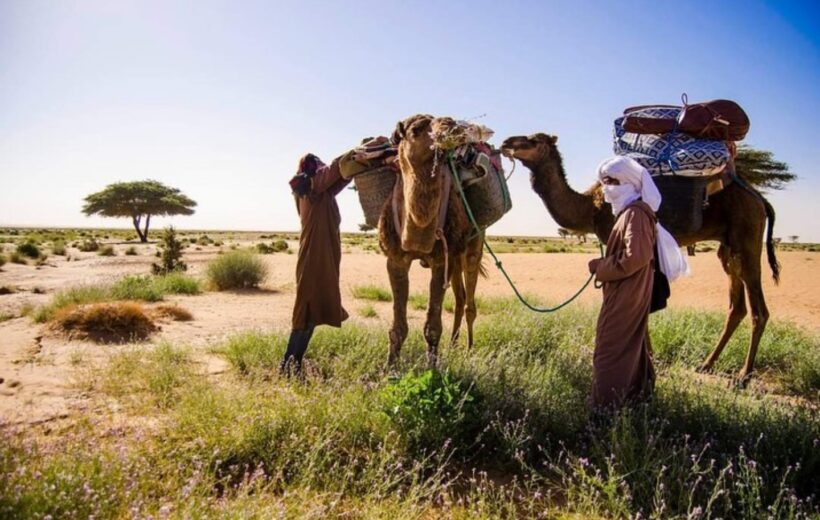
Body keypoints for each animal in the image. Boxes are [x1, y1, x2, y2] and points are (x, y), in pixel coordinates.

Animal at [379, 114, 484, 367]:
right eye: (415, 130)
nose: (450, 124)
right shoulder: (395, 259)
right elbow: (398, 325)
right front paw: (389, 367)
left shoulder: (440, 260)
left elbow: (433, 325)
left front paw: (433, 367)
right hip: (455, 258)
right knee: (460, 298)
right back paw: (453, 346)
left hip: (473, 247)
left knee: (470, 303)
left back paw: (468, 350)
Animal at [500, 133, 780, 384]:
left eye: (534, 140)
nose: (506, 143)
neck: (590, 208)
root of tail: (760, 199)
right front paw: (649, 358)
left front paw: (645, 360)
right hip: (728, 246)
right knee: (737, 305)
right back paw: (707, 364)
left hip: (747, 235)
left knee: (759, 309)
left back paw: (744, 376)